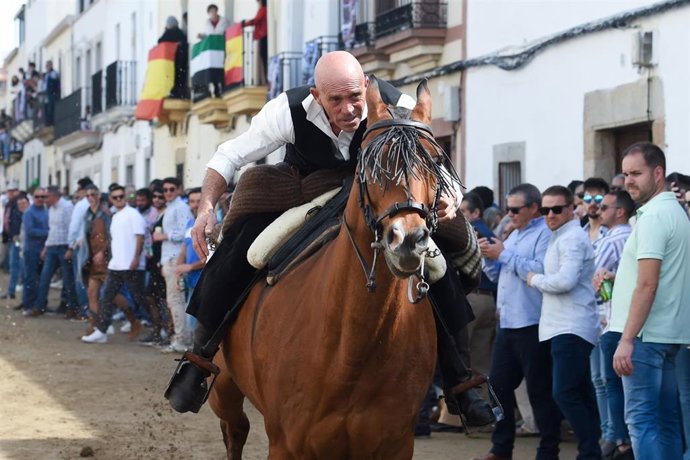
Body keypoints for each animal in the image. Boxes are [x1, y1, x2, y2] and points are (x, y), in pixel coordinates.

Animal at [208, 77, 459, 459]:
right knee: (234, 430)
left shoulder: (394, 443)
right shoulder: (286, 443)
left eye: (435, 162)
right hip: (223, 388)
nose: (408, 240)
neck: (351, 348)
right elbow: (231, 153)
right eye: (370, 165)